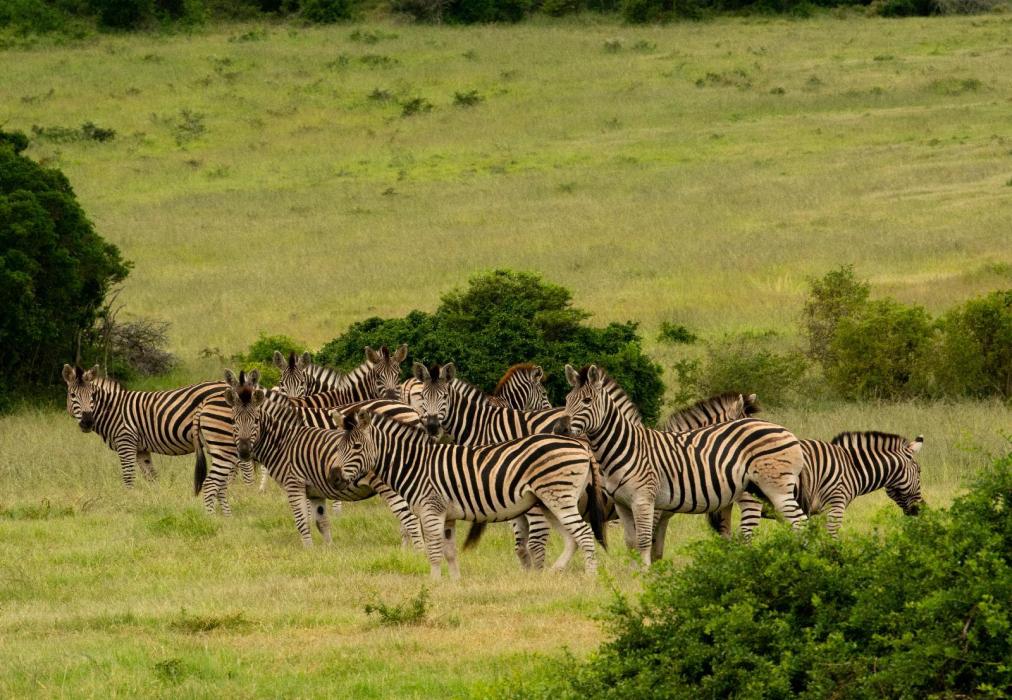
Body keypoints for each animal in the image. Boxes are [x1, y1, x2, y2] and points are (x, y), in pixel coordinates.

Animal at [61, 363, 239, 491]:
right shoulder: (141, 449)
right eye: (72, 395)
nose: (87, 421)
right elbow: (151, 476)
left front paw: (129, 499)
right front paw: (156, 499)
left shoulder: (126, 441)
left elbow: (128, 476)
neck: (113, 410)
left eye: (92, 396)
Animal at [199, 375, 426, 548]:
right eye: (233, 421)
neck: (284, 440)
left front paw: (308, 550)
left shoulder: (294, 484)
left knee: (410, 518)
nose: (245, 451)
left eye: (255, 420)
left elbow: (302, 521)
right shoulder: (315, 491)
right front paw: (328, 551)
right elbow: (321, 522)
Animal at [332, 410, 607, 579]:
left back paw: (591, 578)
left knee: (583, 533)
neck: (416, 463)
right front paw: (455, 583)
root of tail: (580, 444)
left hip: (558, 497)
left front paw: (433, 583)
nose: (334, 476)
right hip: (548, 501)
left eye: (356, 447)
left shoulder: (431, 510)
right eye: (340, 446)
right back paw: (553, 574)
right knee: (572, 538)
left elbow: (433, 550)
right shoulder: (447, 516)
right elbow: (449, 551)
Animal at [563, 364, 808, 566]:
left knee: (796, 523)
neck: (625, 446)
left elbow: (646, 542)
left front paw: (645, 576)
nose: (561, 429)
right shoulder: (626, 505)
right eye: (566, 400)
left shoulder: (648, 504)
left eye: (586, 401)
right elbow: (638, 544)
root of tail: (789, 433)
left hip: (768, 491)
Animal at [736, 432, 925, 537]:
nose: (920, 511)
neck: (852, 468)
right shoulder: (835, 505)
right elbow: (832, 537)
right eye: (919, 471)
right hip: (752, 502)